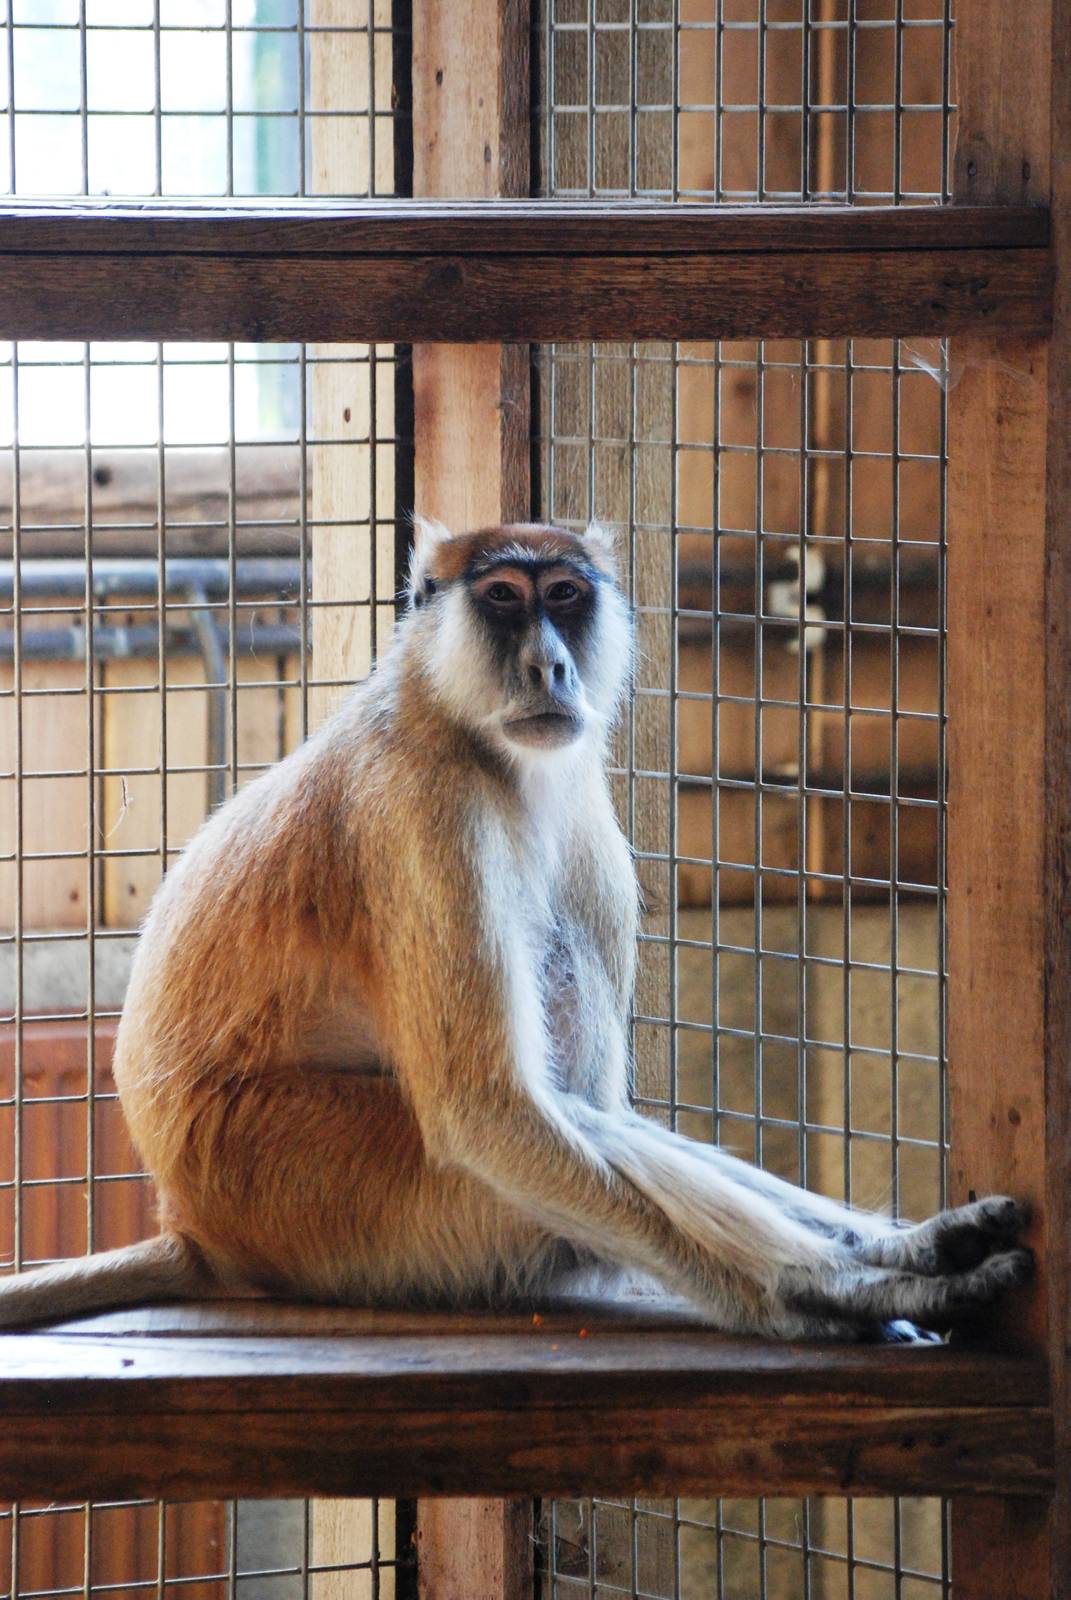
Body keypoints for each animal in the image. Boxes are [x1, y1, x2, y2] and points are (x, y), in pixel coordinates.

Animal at [0, 518, 1030, 1339]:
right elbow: (487, 1115)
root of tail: (196, 1222)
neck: (456, 718)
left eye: (565, 598)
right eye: (502, 600)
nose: (550, 665)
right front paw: (817, 1290)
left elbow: (591, 1109)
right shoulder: (425, 812)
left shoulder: (579, 804)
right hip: (313, 1185)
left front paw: (895, 1248)